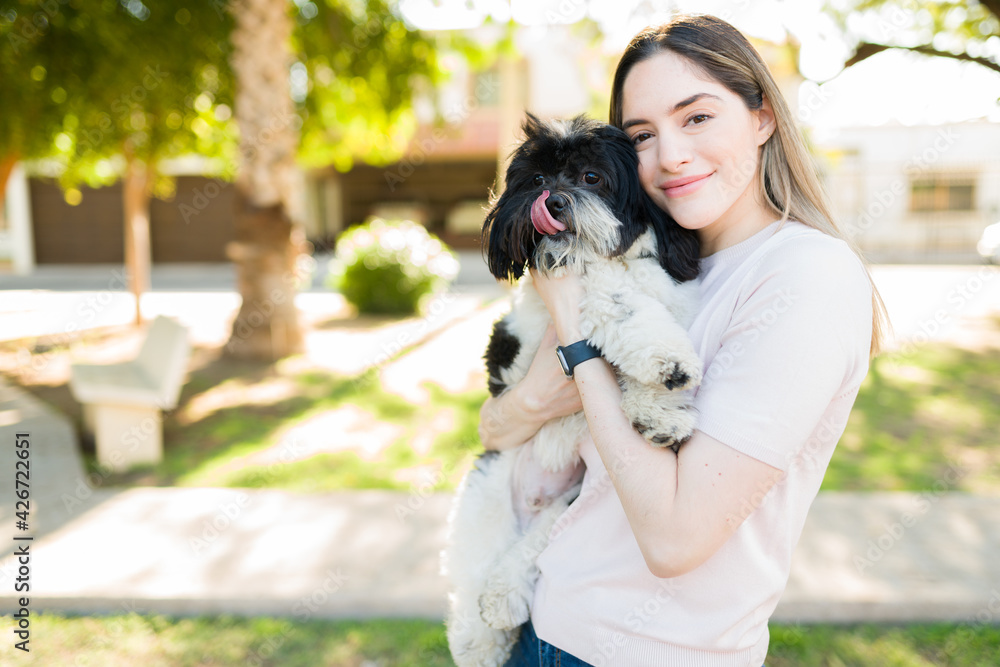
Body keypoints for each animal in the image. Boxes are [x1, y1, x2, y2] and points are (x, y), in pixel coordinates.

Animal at [442, 112, 708, 664]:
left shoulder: (676, 300)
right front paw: (666, 360)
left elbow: (640, 364)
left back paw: (503, 598)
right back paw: (480, 638)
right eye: (538, 180)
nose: (554, 202)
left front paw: (661, 409)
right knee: (471, 573)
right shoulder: (576, 293)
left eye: (591, 178)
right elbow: (616, 300)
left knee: (529, 550)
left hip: (569, 496)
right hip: (486, 496)